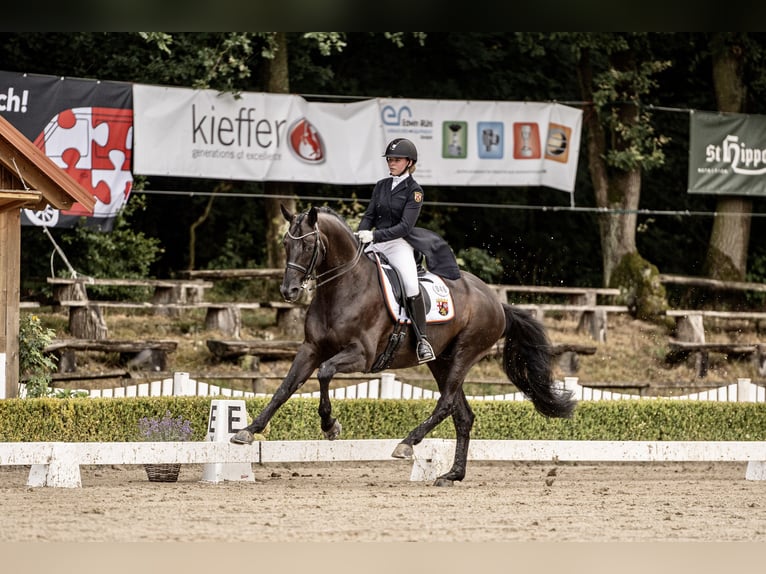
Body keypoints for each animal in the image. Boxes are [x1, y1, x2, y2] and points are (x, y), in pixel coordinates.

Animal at [231, 206, 580, 486]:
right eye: (285, 244)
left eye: (307, 244)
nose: (288, 291)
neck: (343, 288)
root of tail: (496, 302)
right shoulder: (310, 349)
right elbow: (285, 388)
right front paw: (248, 430)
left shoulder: (362, 356)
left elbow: (325, 373)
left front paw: (330, 426)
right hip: (440, 360)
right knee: (462, 415)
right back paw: (452, 475)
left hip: (465, 354)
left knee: (446, 404)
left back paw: (408, 443)